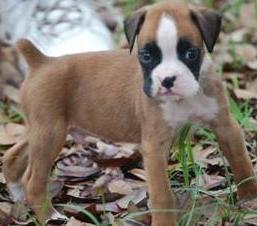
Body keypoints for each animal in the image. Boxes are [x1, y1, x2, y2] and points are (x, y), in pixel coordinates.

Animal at [3, 0, 256, 225]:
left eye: (191, 53)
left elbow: (242, 163)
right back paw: (49, 215)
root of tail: (42, 61)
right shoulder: (154, 147)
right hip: (50, 134)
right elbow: (162, 195)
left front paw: (250, 202)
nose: (167, 80)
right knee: (34, 181)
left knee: (13, 155)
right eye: (146, 55)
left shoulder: (226, 127)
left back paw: (18, 195)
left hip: (44, 130)